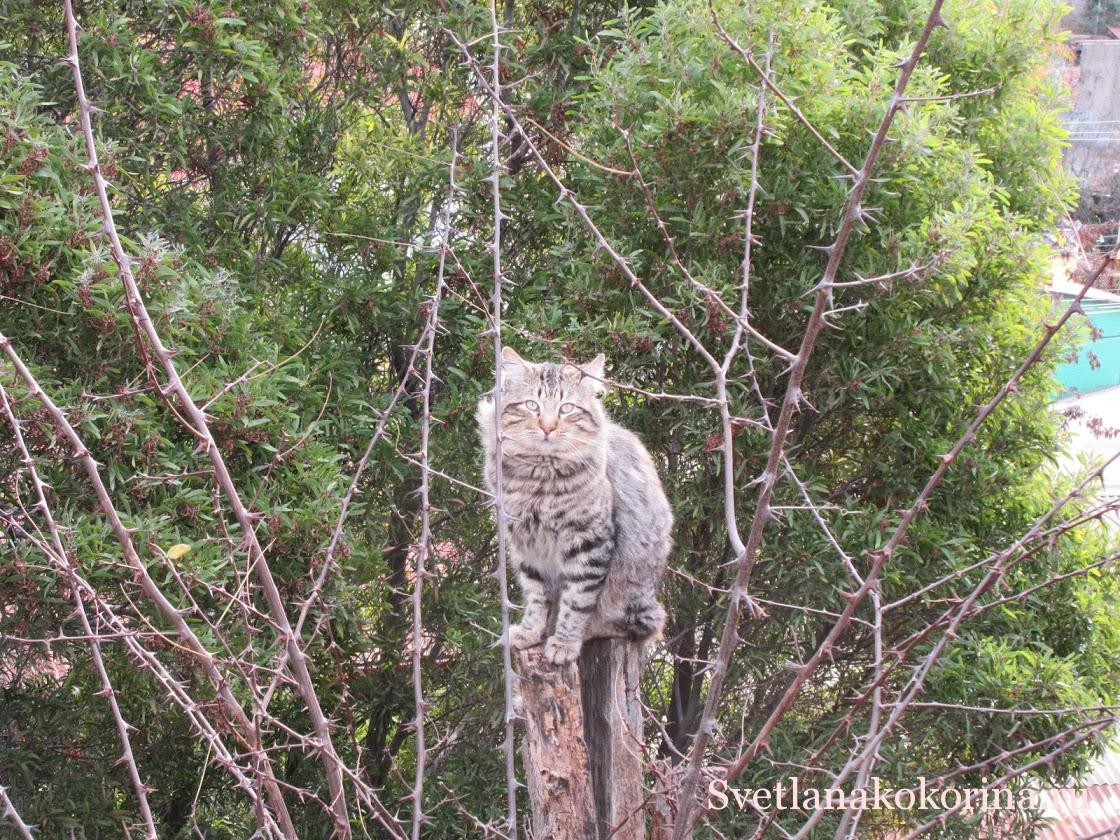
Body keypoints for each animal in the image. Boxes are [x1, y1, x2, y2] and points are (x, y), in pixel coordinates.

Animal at [474, 347, 667, 663]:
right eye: (532, 405)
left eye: (566, 409)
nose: (548, 426)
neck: (538, 480)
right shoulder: (527, 547)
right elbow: (537, 596)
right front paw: (530, 632)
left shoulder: (588, 542)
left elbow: (576, 601)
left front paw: (564, 642)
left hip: (632, 595)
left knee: (632, 625)